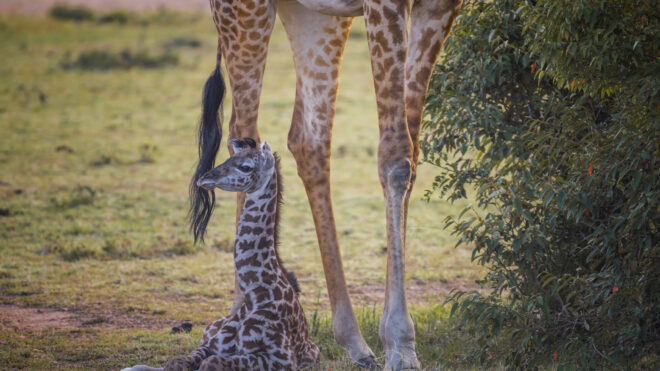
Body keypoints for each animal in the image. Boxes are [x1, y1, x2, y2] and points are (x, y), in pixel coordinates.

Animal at [125, 140, 320, 371]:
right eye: (229, 158)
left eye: (245, 167)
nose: (203, 178)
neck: (255, 295)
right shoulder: (211, 344)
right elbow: (177, 362)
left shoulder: (281, 359)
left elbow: (211, 363)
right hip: (210, 328)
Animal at [188, 0, 462, 370]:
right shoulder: (385, 6)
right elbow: (396, 156)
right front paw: (401, 344)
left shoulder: (441, 8)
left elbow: (412, 153)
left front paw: (398, 343)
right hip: (243, 12)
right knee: (242, 128)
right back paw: (242, 312)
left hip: (316, 17)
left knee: (308, 140)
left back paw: (355, 344)